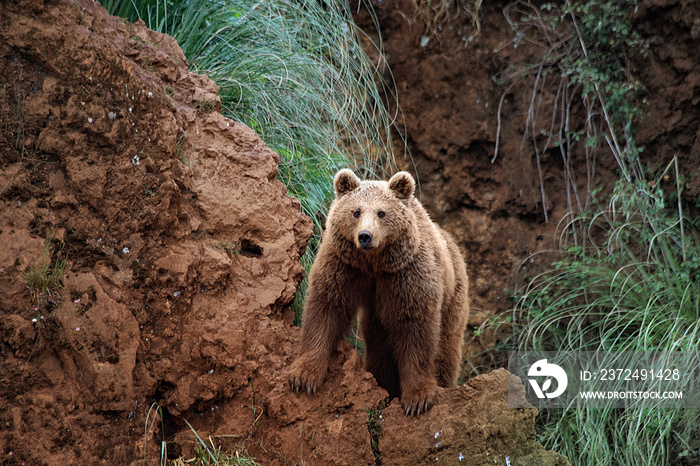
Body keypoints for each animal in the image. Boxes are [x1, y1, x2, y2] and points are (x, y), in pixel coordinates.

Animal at [290, 168, 470, 416]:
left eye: (382, 212)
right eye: (356, 212)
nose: (365, 236)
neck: (374, 264)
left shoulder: (407, 276)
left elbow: (416, 329)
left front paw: (417, 398)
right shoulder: (344, 265)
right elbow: (325, 308)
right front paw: (304, 377)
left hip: (453, 295)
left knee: (446, 347)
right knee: (378, 345)